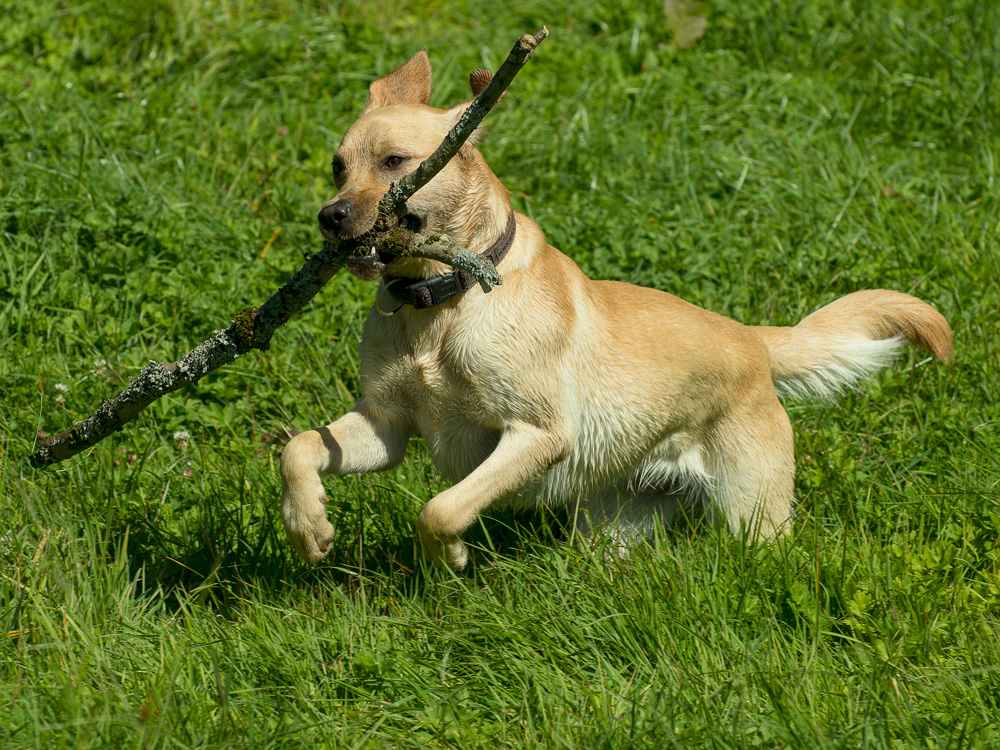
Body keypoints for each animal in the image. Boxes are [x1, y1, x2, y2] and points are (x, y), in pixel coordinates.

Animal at [280, 51, 952, 568]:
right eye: (338, 167)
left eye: (394, 162)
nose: (330, 216)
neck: (441, 301)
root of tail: (751, 340)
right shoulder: (385, 427)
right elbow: (299, 449)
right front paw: (308, 527)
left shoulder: (537, 433)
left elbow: (439, 509)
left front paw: (448, 558)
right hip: (611, 528)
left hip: (753, 519)